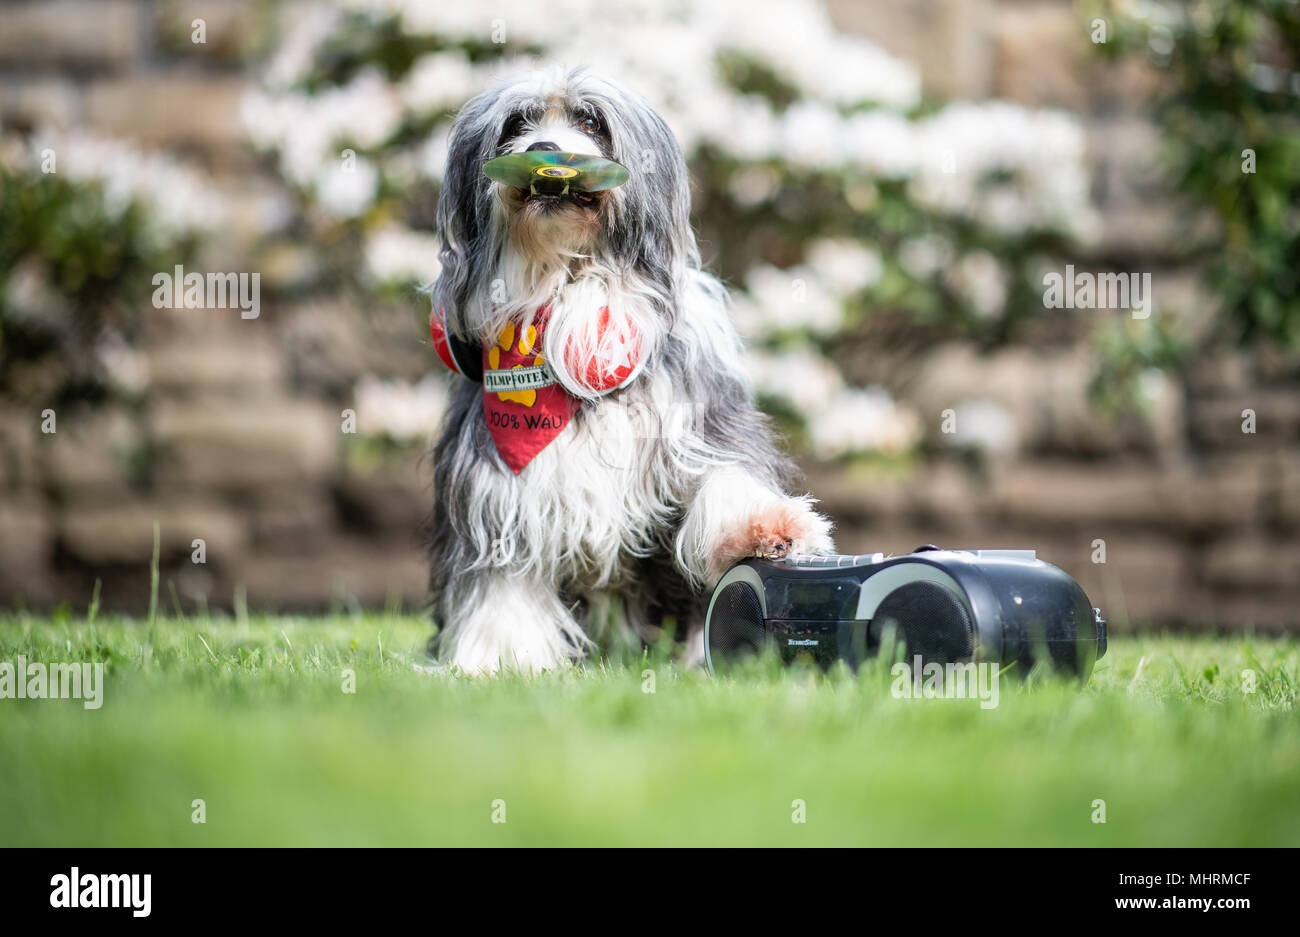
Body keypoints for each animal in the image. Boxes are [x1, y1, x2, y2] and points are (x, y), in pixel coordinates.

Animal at [426, 71, 832, 670]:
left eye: (591, 121)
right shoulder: (492, 477)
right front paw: (502, 657)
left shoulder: (701, 418)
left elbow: (727, 474)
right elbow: (502, 576)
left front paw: (765, 527)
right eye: (516, 123)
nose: (545, 153)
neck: (571, 300)